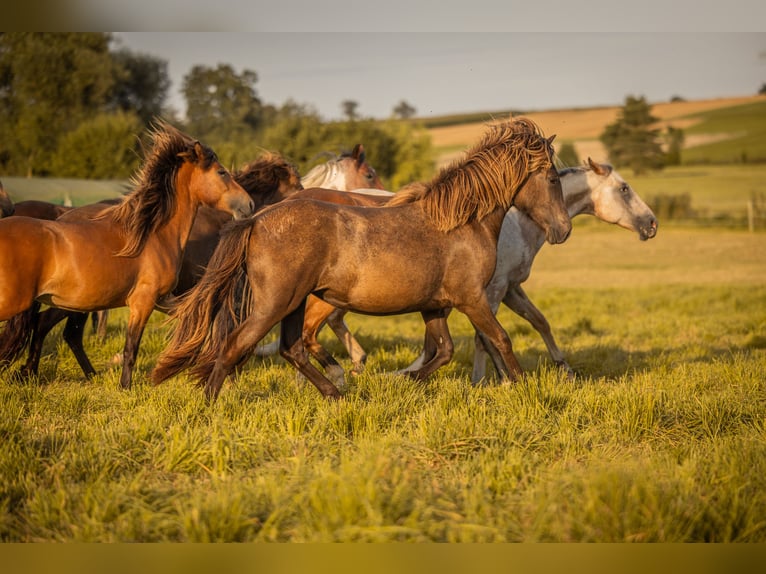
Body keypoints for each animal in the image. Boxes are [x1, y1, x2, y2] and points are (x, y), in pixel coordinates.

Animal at [0, 121, 258, 392]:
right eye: (222, 172)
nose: (249, 205)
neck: (153, 235)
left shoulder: (162, 299)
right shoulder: (143, 302)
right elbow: (131, 348)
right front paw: (126, 387)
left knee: (45, 326)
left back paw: (34, 373)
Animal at [153, 117, 572, 402]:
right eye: (553, 179)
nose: (563, 230)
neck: (461, 223)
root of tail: (256, 219)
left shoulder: (435, 305)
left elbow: (444, 350)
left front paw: (403, 380)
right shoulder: (472, 298)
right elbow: (499, 339)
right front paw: (521, 388)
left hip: (295, 302)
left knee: (292, 347)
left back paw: (337, 394)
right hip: (275, 303)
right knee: (236, 345)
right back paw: (209, 405)